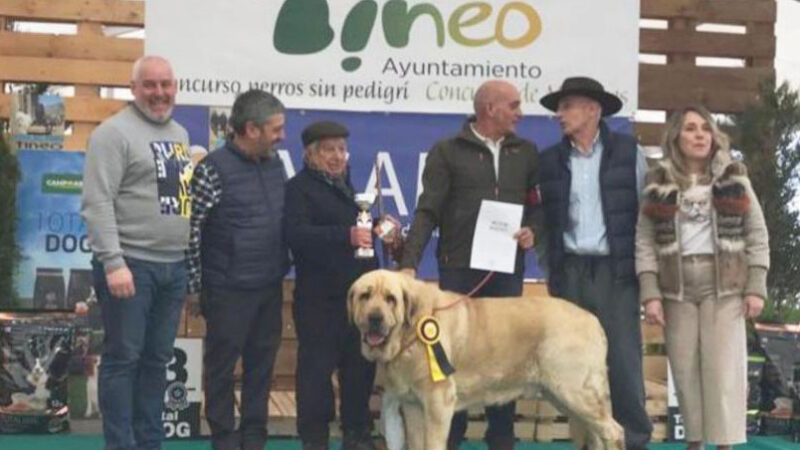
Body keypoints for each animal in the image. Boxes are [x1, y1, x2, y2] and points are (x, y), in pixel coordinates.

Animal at [346, 270, 620, 450]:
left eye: (390, 299)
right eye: (365, 296)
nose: (374, 318)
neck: (411, 331)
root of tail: (593, 320)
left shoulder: (437, 403)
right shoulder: (412, 405)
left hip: (574, 392)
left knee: (613, 430)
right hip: (562, 395)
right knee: (597, 432)